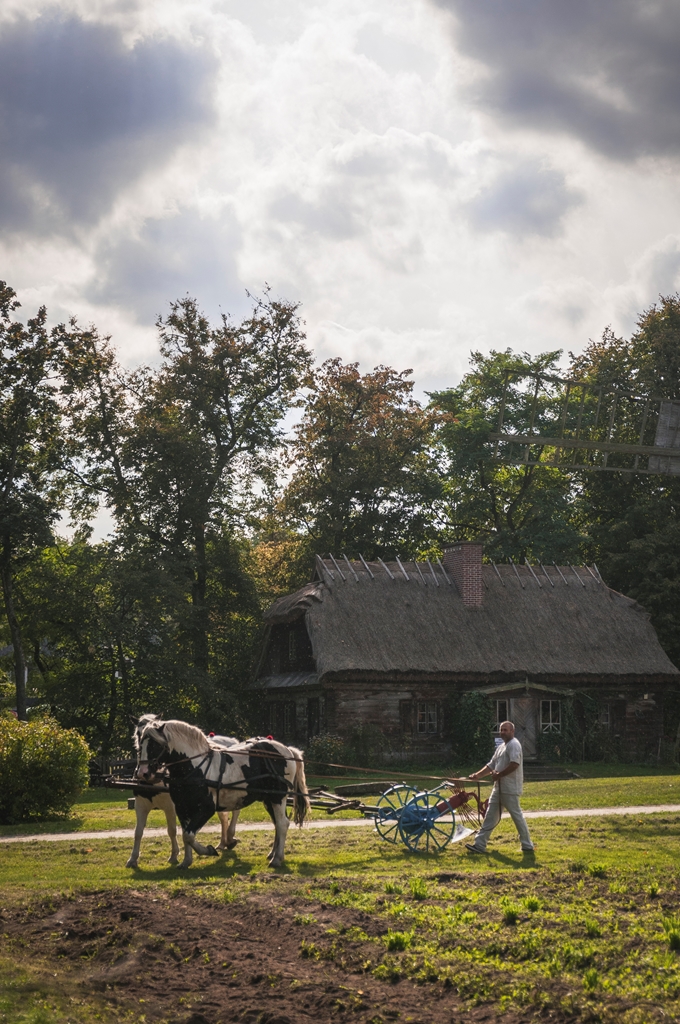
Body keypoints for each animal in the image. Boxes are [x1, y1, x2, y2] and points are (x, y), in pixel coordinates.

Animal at [126, 714, 241, 868]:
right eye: (138, 734)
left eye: (157, 743)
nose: (143, 773)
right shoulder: (141, 805)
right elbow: (138, 832)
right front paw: (132, 859)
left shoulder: (171, 807)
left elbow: (173, 831)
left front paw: (175, 856)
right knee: (223, 817)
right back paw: (223, 843)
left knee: (235, 811)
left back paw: (230, 837)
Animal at [136, 717, 309, 868]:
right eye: (139, 743)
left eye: (154, 745)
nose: (143, 773)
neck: (196, 767)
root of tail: (287, 750)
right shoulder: (182, 808)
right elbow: (186, 834)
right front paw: (186, 861)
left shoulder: (206, 809)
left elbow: (189, 835)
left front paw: (209, 850)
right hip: (268, 799)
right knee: (277, 823)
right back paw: (273, 854)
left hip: (278, 797)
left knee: (282, 823)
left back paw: (277, 859)